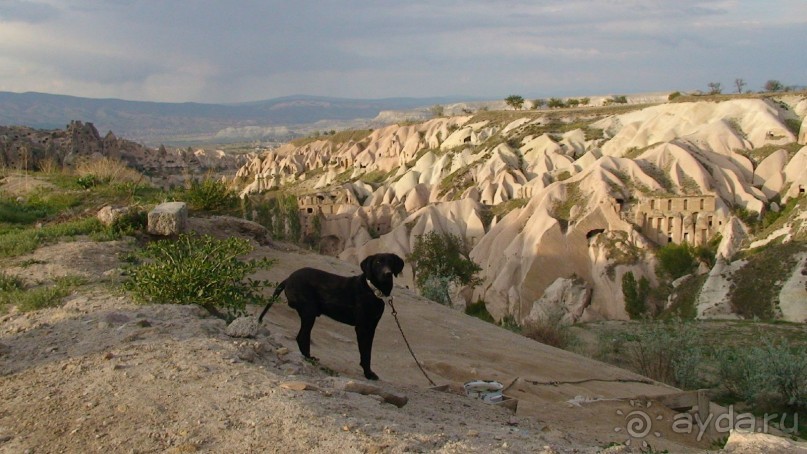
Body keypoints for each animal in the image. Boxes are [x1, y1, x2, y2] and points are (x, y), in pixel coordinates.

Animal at [258, 255, 404, 380]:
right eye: (378, 262)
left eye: (391, 262)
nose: (387, 273)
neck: (373, 290)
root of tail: (288, 279)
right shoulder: (362, 327)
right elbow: (366, 353)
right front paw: (368, 373)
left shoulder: (372, 326)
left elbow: (368, 351)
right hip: (309, 312)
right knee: (302, 336)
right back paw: (309, 358)